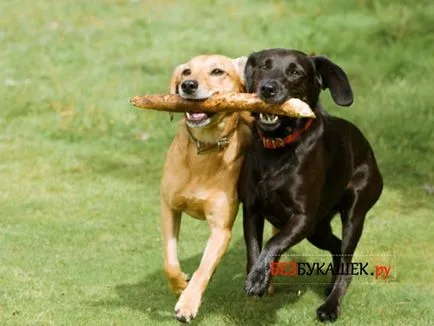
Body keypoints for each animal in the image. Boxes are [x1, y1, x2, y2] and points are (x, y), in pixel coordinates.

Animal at [160, 54, 251, 322]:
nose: (188, 85)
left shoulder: (221, 230)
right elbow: (169, 262)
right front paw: (180, 284)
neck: (204, 150)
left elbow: (203, 269)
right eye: (186, 71)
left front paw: (187, 303)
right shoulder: (168, 207)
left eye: (217, 71)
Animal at [237, 48, 384, 320]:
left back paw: (330, 307)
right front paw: (256, 277)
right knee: (336, 247)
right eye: (264, 66)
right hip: (318, 229)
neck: (278, 149)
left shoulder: (302, 217)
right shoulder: (251, 209)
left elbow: (273, 243)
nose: (267, 88)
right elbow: (254, 247)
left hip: (353, 213)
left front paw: (258, 278)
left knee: (347, 263)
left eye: (296, 72)